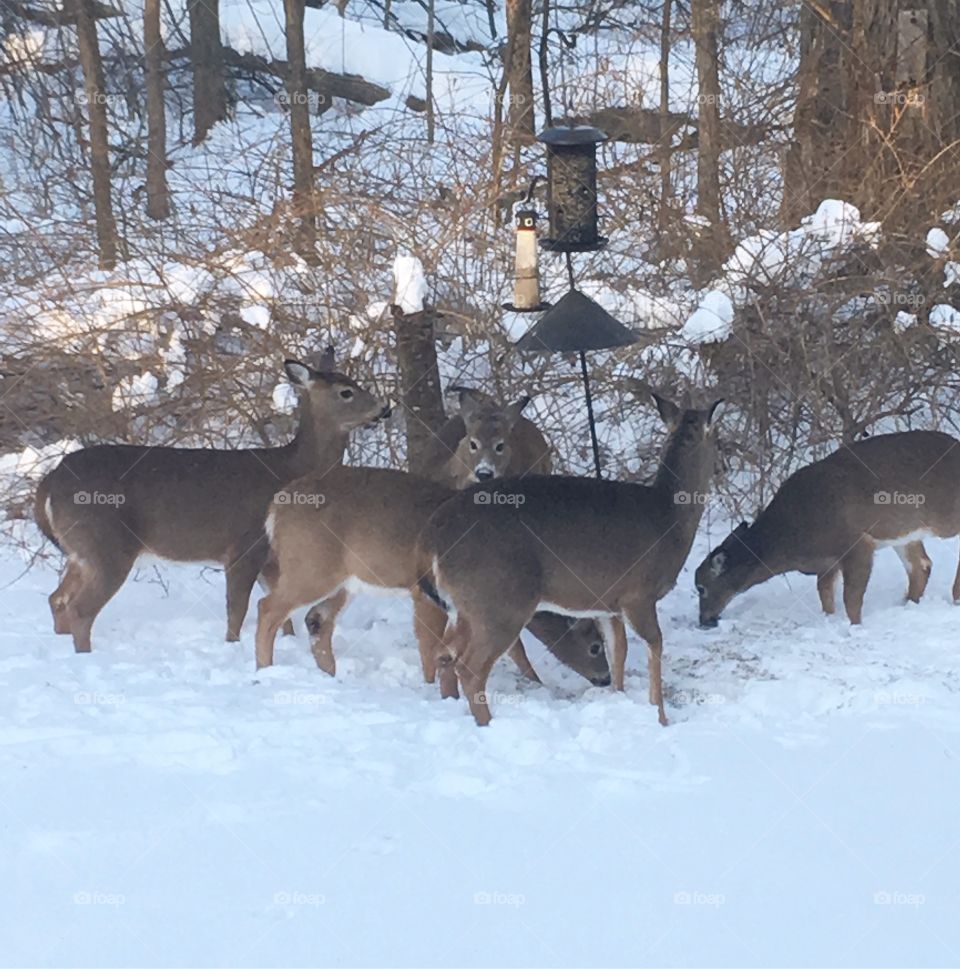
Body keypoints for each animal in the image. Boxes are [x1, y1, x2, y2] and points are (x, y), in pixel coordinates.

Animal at [34, 352, 386, 656]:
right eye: (346, 392)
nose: (385, 410)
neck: (291, 470)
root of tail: (49, 482)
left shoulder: (271, 557)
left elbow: (281, 611)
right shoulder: (246, 544)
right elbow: (237, 609)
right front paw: (232, 645)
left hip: (81, 551)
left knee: (56, 598)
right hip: (106, 543)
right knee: (80, 608)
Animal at [266, 386, 608, 688]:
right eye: (595, 645)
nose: (604, 678)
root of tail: (276, 507)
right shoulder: (428, 593)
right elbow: (435, 644)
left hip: (343, 578)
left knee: (316, 620)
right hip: (310, 564)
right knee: (269, 609)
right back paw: (265, 668)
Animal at [416, 396, 724, 728]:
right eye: (716, 439)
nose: (721, 465)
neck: (671, 517)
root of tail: (433, 535)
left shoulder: (607, 601)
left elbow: (619, 650)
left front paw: (618, 697)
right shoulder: (639, 594)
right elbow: (654, 646)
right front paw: (661, 717)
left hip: (464, 606)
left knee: (444, 654)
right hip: (499, 601)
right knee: (470, 667)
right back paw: (488, 723)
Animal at [696, 432, 960, 628]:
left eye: (701, 588)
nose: (704, 620)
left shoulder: (857, 543)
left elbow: (851, 598)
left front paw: (854, 627)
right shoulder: (828, 562)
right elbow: (825, 594)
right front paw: (829, 620)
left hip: (946, 516)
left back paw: (955, 596)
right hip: (902, 531)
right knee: (921, 565)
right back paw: (909, 603)